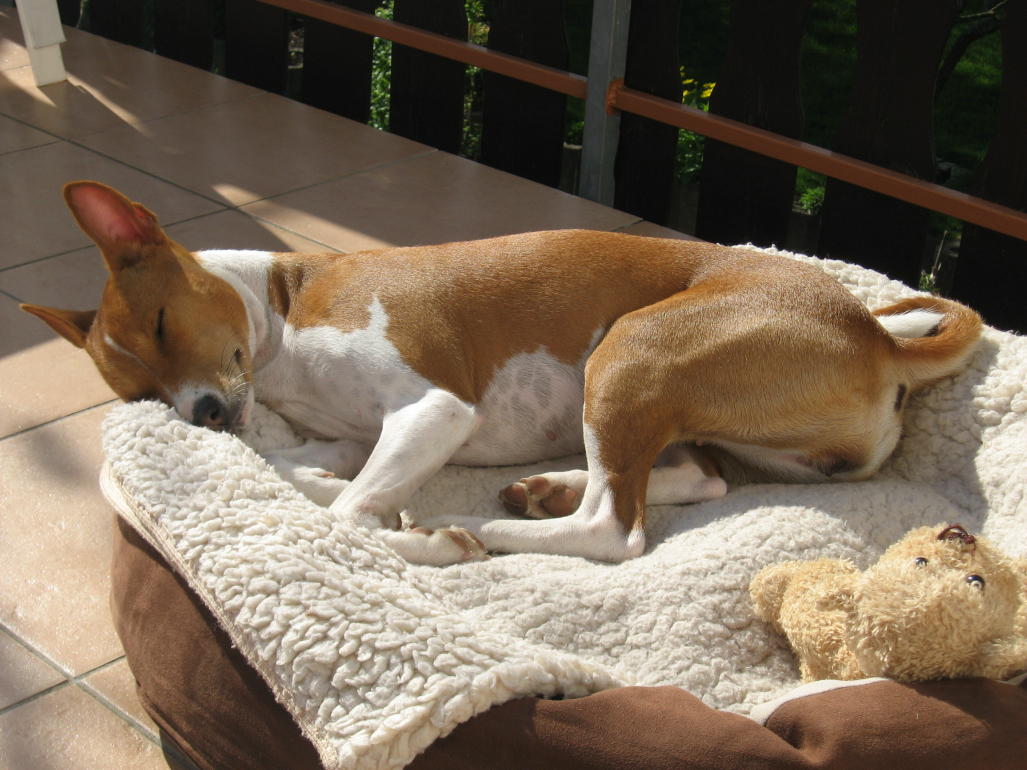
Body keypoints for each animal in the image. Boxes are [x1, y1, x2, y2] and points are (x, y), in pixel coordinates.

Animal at [22, 181, 982, 565]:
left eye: (160, 323)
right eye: (138, 392)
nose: (204, 415)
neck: (284, 317)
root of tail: (872, 332)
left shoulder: (435, 412)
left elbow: (348, 516)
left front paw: (417, 536)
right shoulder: (350, 440)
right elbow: (312, 478)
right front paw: (331, 488)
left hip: (628, 352)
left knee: (616, 529)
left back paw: (487, 530)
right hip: (694, 416)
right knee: (693, 479)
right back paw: (540, 491)